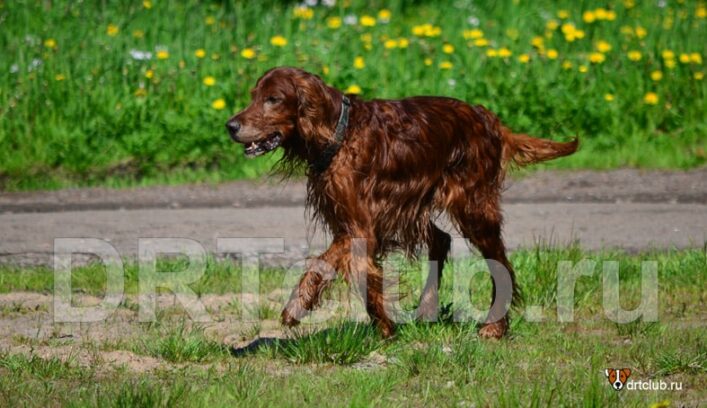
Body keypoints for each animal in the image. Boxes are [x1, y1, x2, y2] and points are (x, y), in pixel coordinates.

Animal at [224, 67, 580, 340]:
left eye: (273, 99)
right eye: (253, 95)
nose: (231, 126)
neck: (339, 133)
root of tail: (486, 117)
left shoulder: (361, 227)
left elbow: (340, 271)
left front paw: (376, 326)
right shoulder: (354, 223)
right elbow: (344, 273)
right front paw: (379, 326)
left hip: (473, 208)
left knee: (499, 263)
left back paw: (494, 326)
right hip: (418, 208)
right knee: (442, 239)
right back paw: (427, 308)